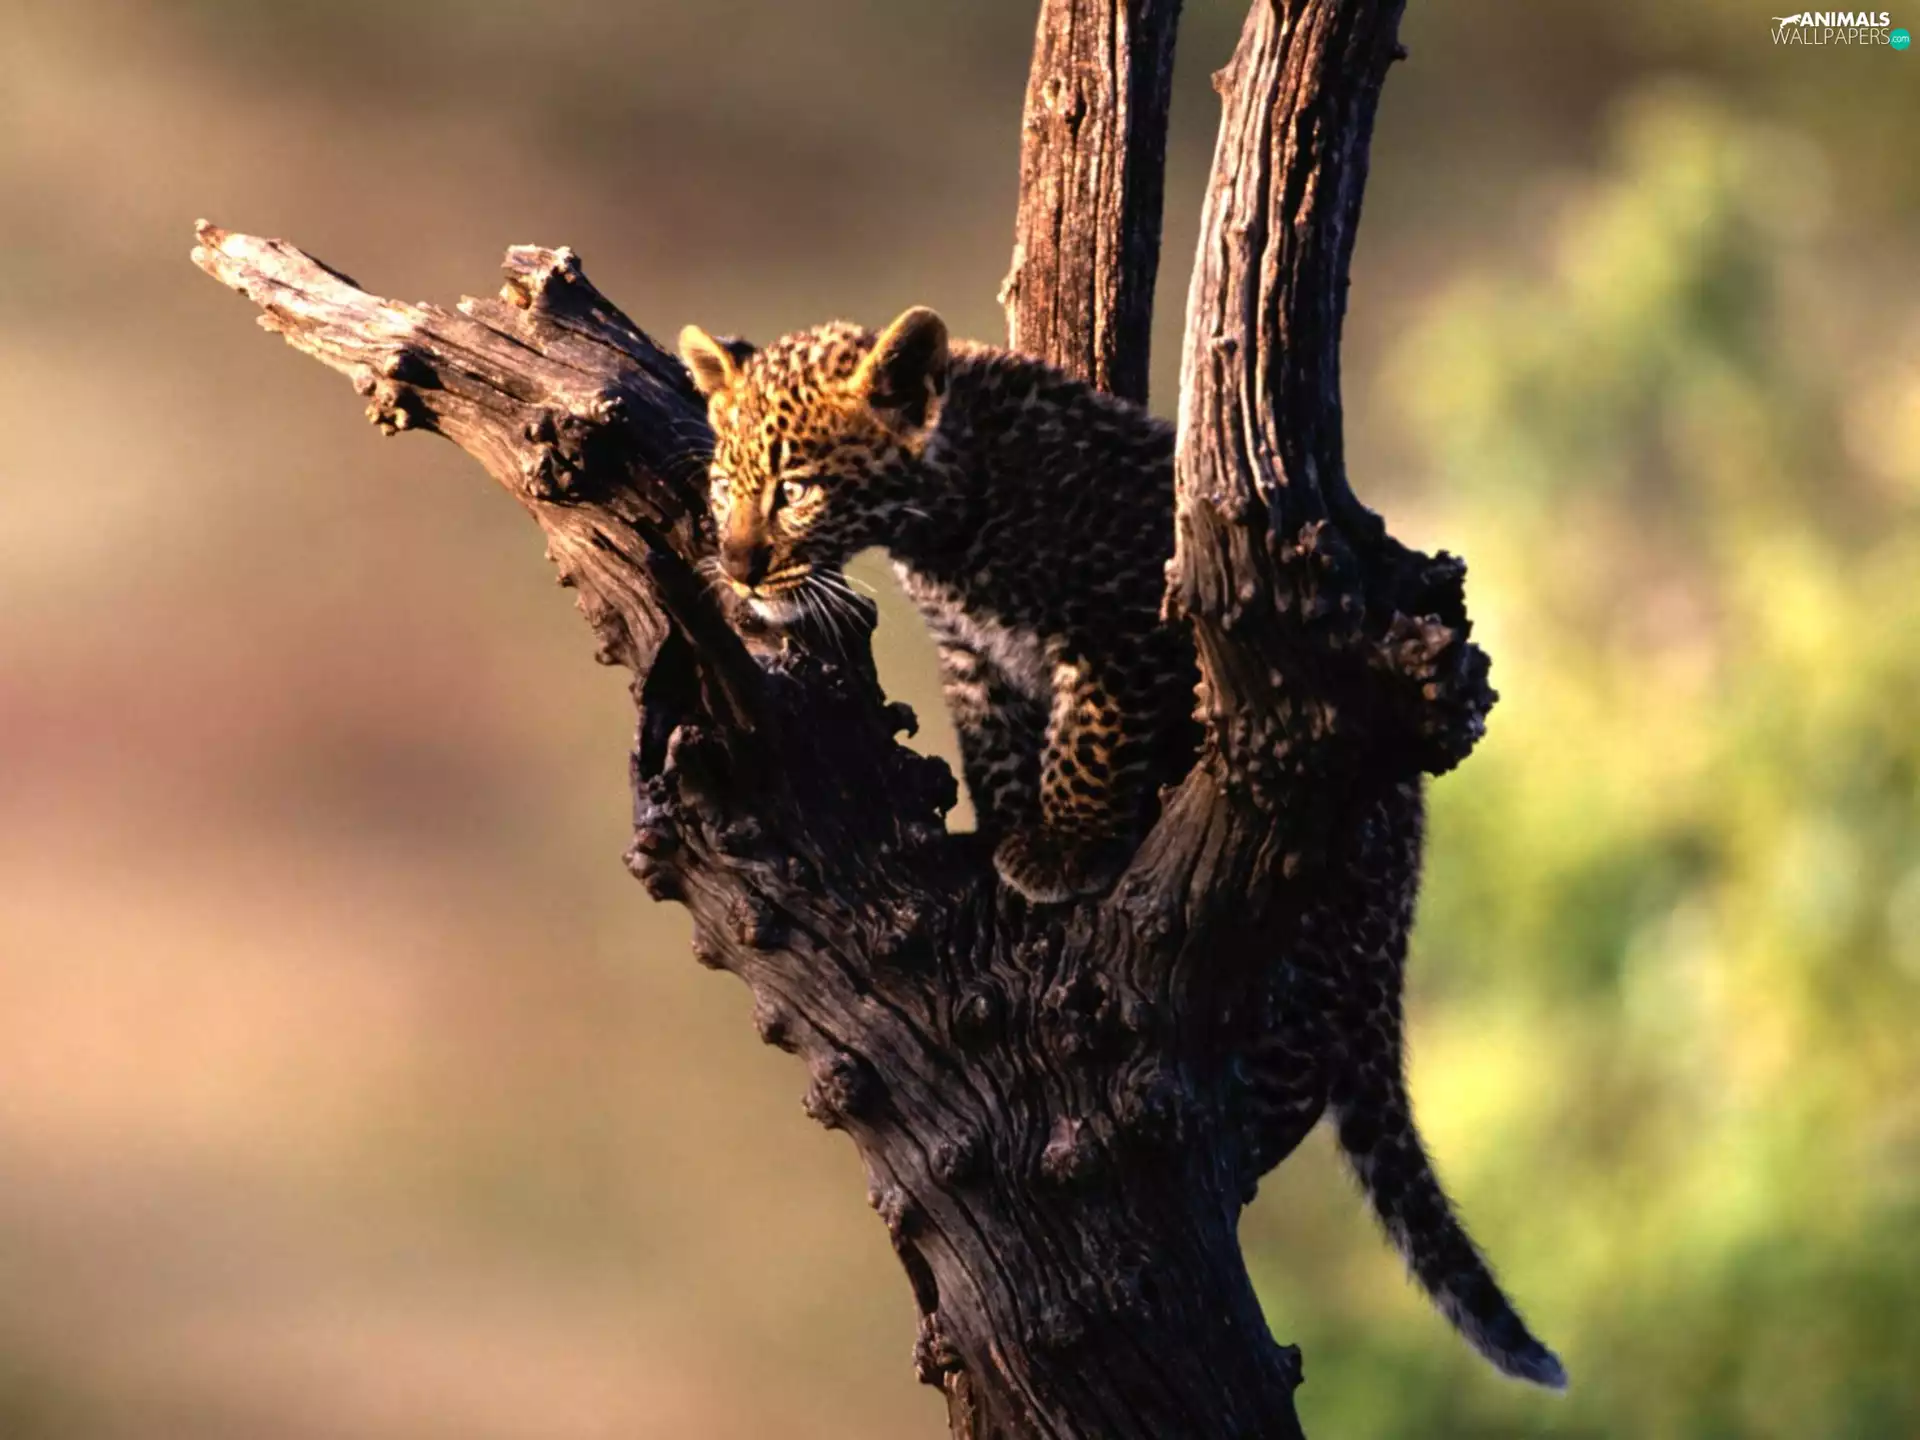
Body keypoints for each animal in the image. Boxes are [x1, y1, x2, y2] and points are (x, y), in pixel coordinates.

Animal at [677, 306, 1565, 1389]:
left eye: (797, 487)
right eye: (723, 483)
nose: (740, 565)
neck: (946, 518)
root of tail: (1405, 878)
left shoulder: (1121, 632)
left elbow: (1086, 746)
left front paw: (1061, 850)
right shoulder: (974, 661)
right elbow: (1000, 752)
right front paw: (1001, 843)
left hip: (1320, 936)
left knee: (1297, 1074)